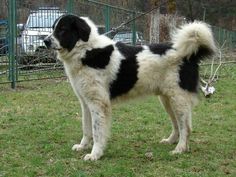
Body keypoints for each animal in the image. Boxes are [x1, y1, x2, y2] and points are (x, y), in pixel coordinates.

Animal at [44, 14, 216, 160]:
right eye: (54, 28)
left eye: (62, 30)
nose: (45, 41)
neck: (86, 49)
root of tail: (188, 54)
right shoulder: (86, 102)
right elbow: (86, 128)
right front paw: (83, 146)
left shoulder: (98, 103)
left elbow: (97, 131)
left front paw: (95, 154)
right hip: (167, 100)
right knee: (177, 125)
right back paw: (170, 141)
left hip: (178, 99)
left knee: (185, 127)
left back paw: (180, 148)